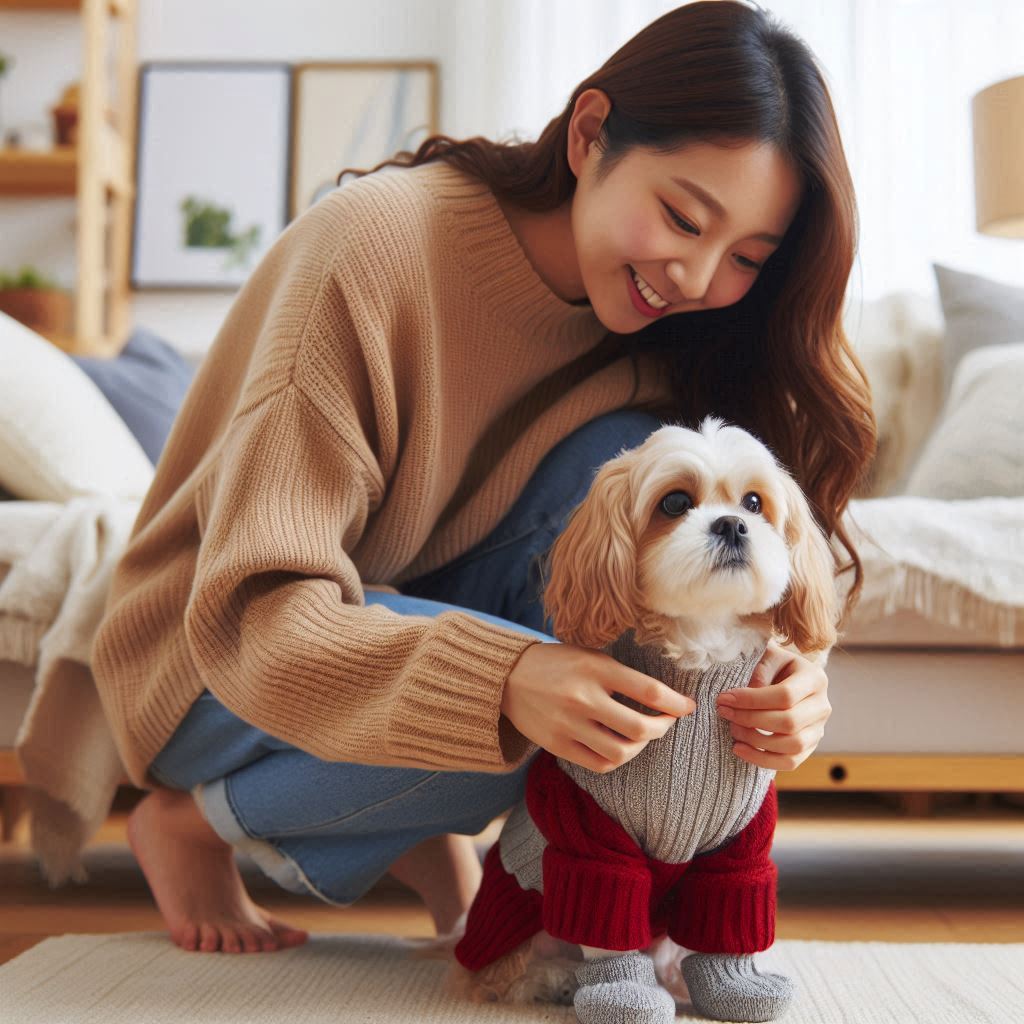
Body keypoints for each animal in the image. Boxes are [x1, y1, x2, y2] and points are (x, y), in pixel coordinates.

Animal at [440, 415, 839, 1015]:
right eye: (674, 502)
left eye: (753, 502)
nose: (732, 525)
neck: (700, 663)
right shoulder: (590, 841)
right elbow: (607, 928)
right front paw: (624, 996)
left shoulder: (739, 850)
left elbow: (726, 921)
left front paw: (736, 986)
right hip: (519, 910)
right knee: (500, 974)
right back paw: (557, 978)